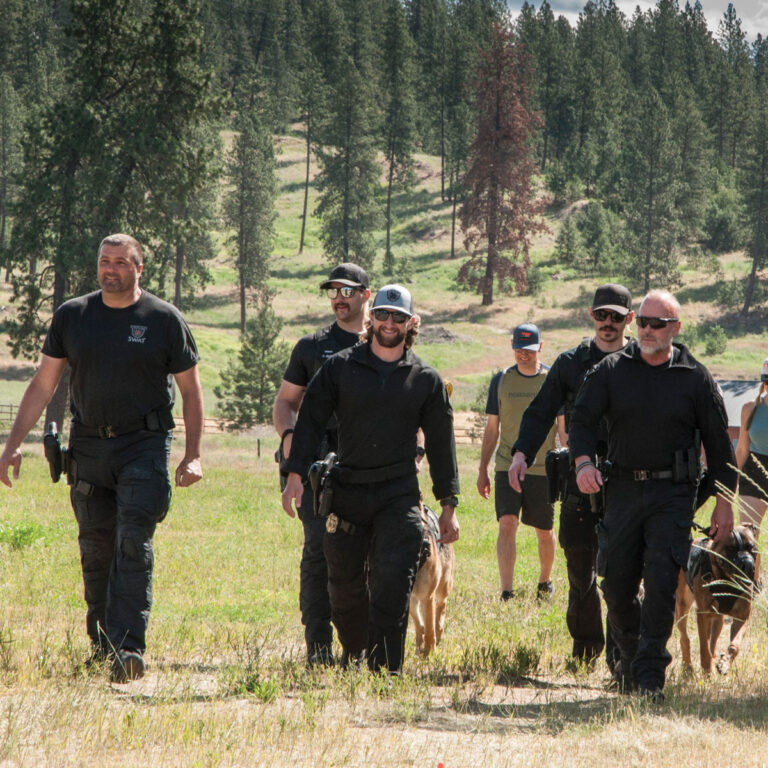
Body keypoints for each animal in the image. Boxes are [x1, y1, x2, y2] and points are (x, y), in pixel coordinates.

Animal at [412, 504, 452, 656]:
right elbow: (420, 624)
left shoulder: (427, 596)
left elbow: (430, 628)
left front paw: (430, 654)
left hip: (443, 587)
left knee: (441, 608)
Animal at [676, 524, 760, 676]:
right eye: (731, 548)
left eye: (751, 547)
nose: (748, 565)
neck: (726, 581)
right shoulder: (702, 615)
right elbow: (704, 647)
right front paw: (707, 669)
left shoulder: (741, 618)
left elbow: (735, 645)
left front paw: (725, 662)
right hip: (682, 608)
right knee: (684, 639)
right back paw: (688, 668)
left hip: (717, 620)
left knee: (713, 643)